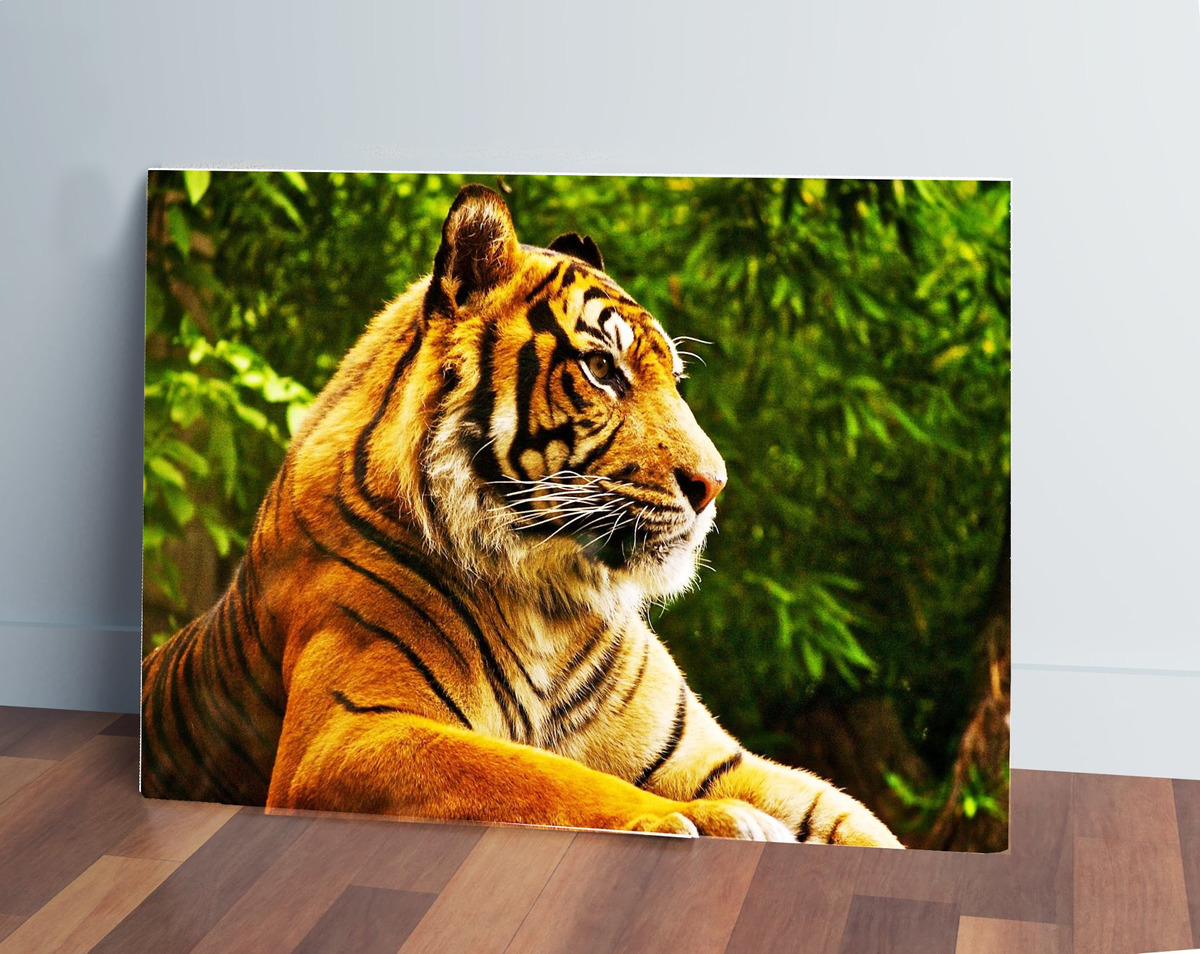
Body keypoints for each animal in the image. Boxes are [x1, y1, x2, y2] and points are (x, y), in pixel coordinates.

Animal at [141, 183, 903, 848]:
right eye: (602, 369)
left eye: (675, 381)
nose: (712, 485)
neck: (549, 603)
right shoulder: (349, 732)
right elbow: (543, 775)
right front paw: (695, 820)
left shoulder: (708, 756)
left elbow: (852, 818)